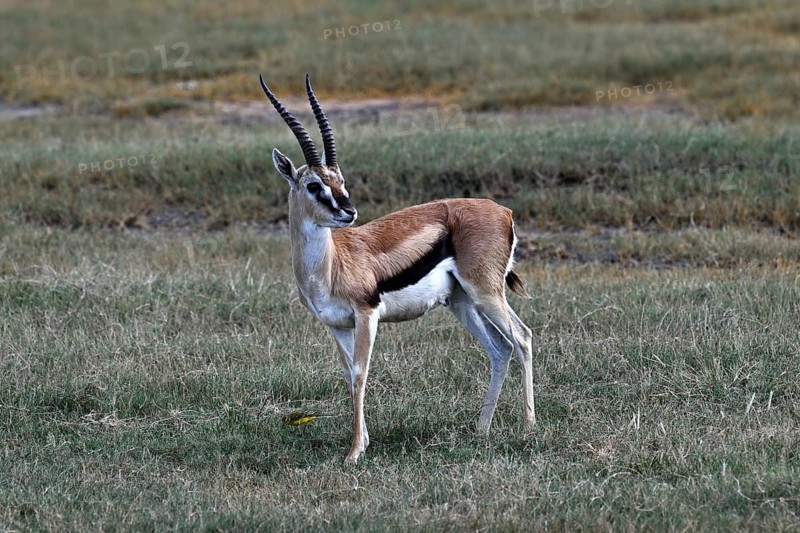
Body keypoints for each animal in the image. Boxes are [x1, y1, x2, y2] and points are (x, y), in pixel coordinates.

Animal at [260, 74, 536, 463]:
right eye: (314, 185)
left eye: (340, 181)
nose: (349, 212)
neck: (329, 266)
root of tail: (504, 212)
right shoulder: (336, 325)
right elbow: (348, 375)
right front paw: (362, 441)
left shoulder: (367, 314)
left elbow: (360, 372)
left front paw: (354, 453)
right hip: (462, 301)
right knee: (500, 348)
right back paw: (481, 429)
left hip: (485, 292)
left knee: (522, 337)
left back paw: (528, 426)